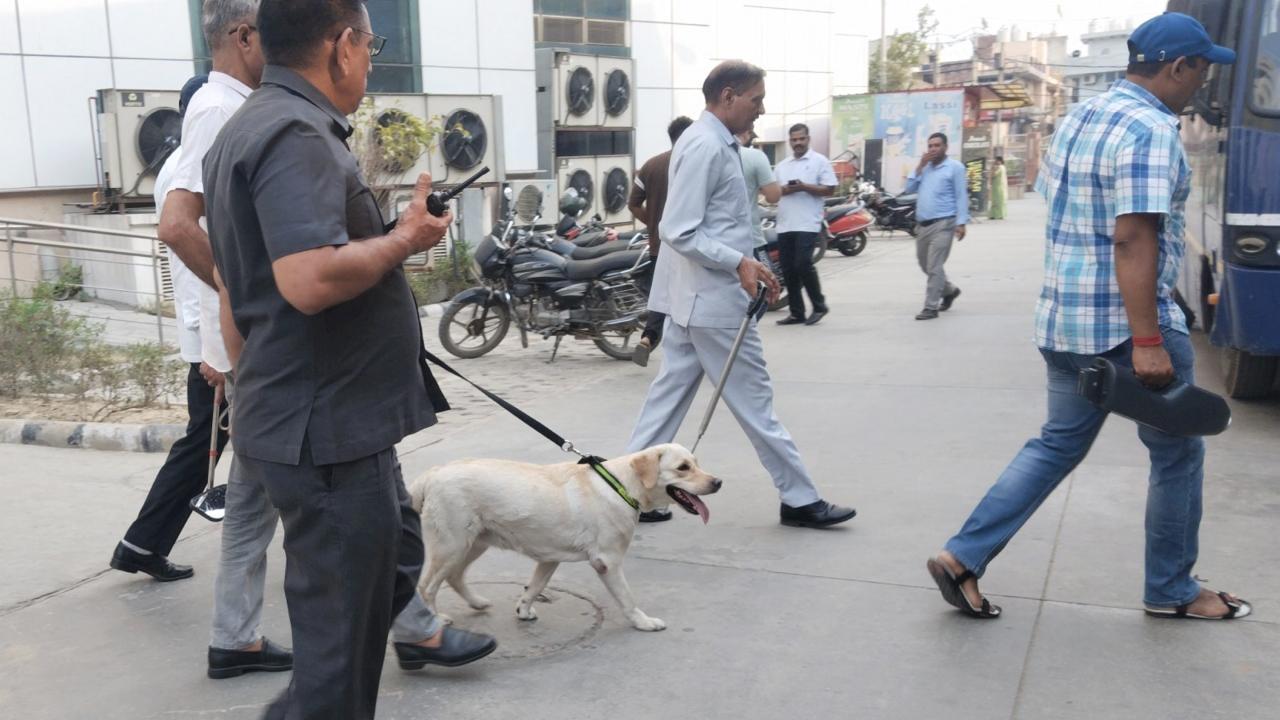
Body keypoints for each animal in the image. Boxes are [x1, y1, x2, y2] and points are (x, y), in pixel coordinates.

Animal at [409, 440, 721, 630]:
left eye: (696, 462)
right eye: (683, 468)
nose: (717, 482)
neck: (621, 486)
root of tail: (431, 475)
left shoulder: (549, 558)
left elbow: (535, 587)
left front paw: (524, 610)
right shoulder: (607, 561)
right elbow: (627, 598)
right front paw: (643, 622)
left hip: (473, 543)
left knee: (454, 576)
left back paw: (477, 602)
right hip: (452, 544)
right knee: (427, 586)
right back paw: (436, 619)